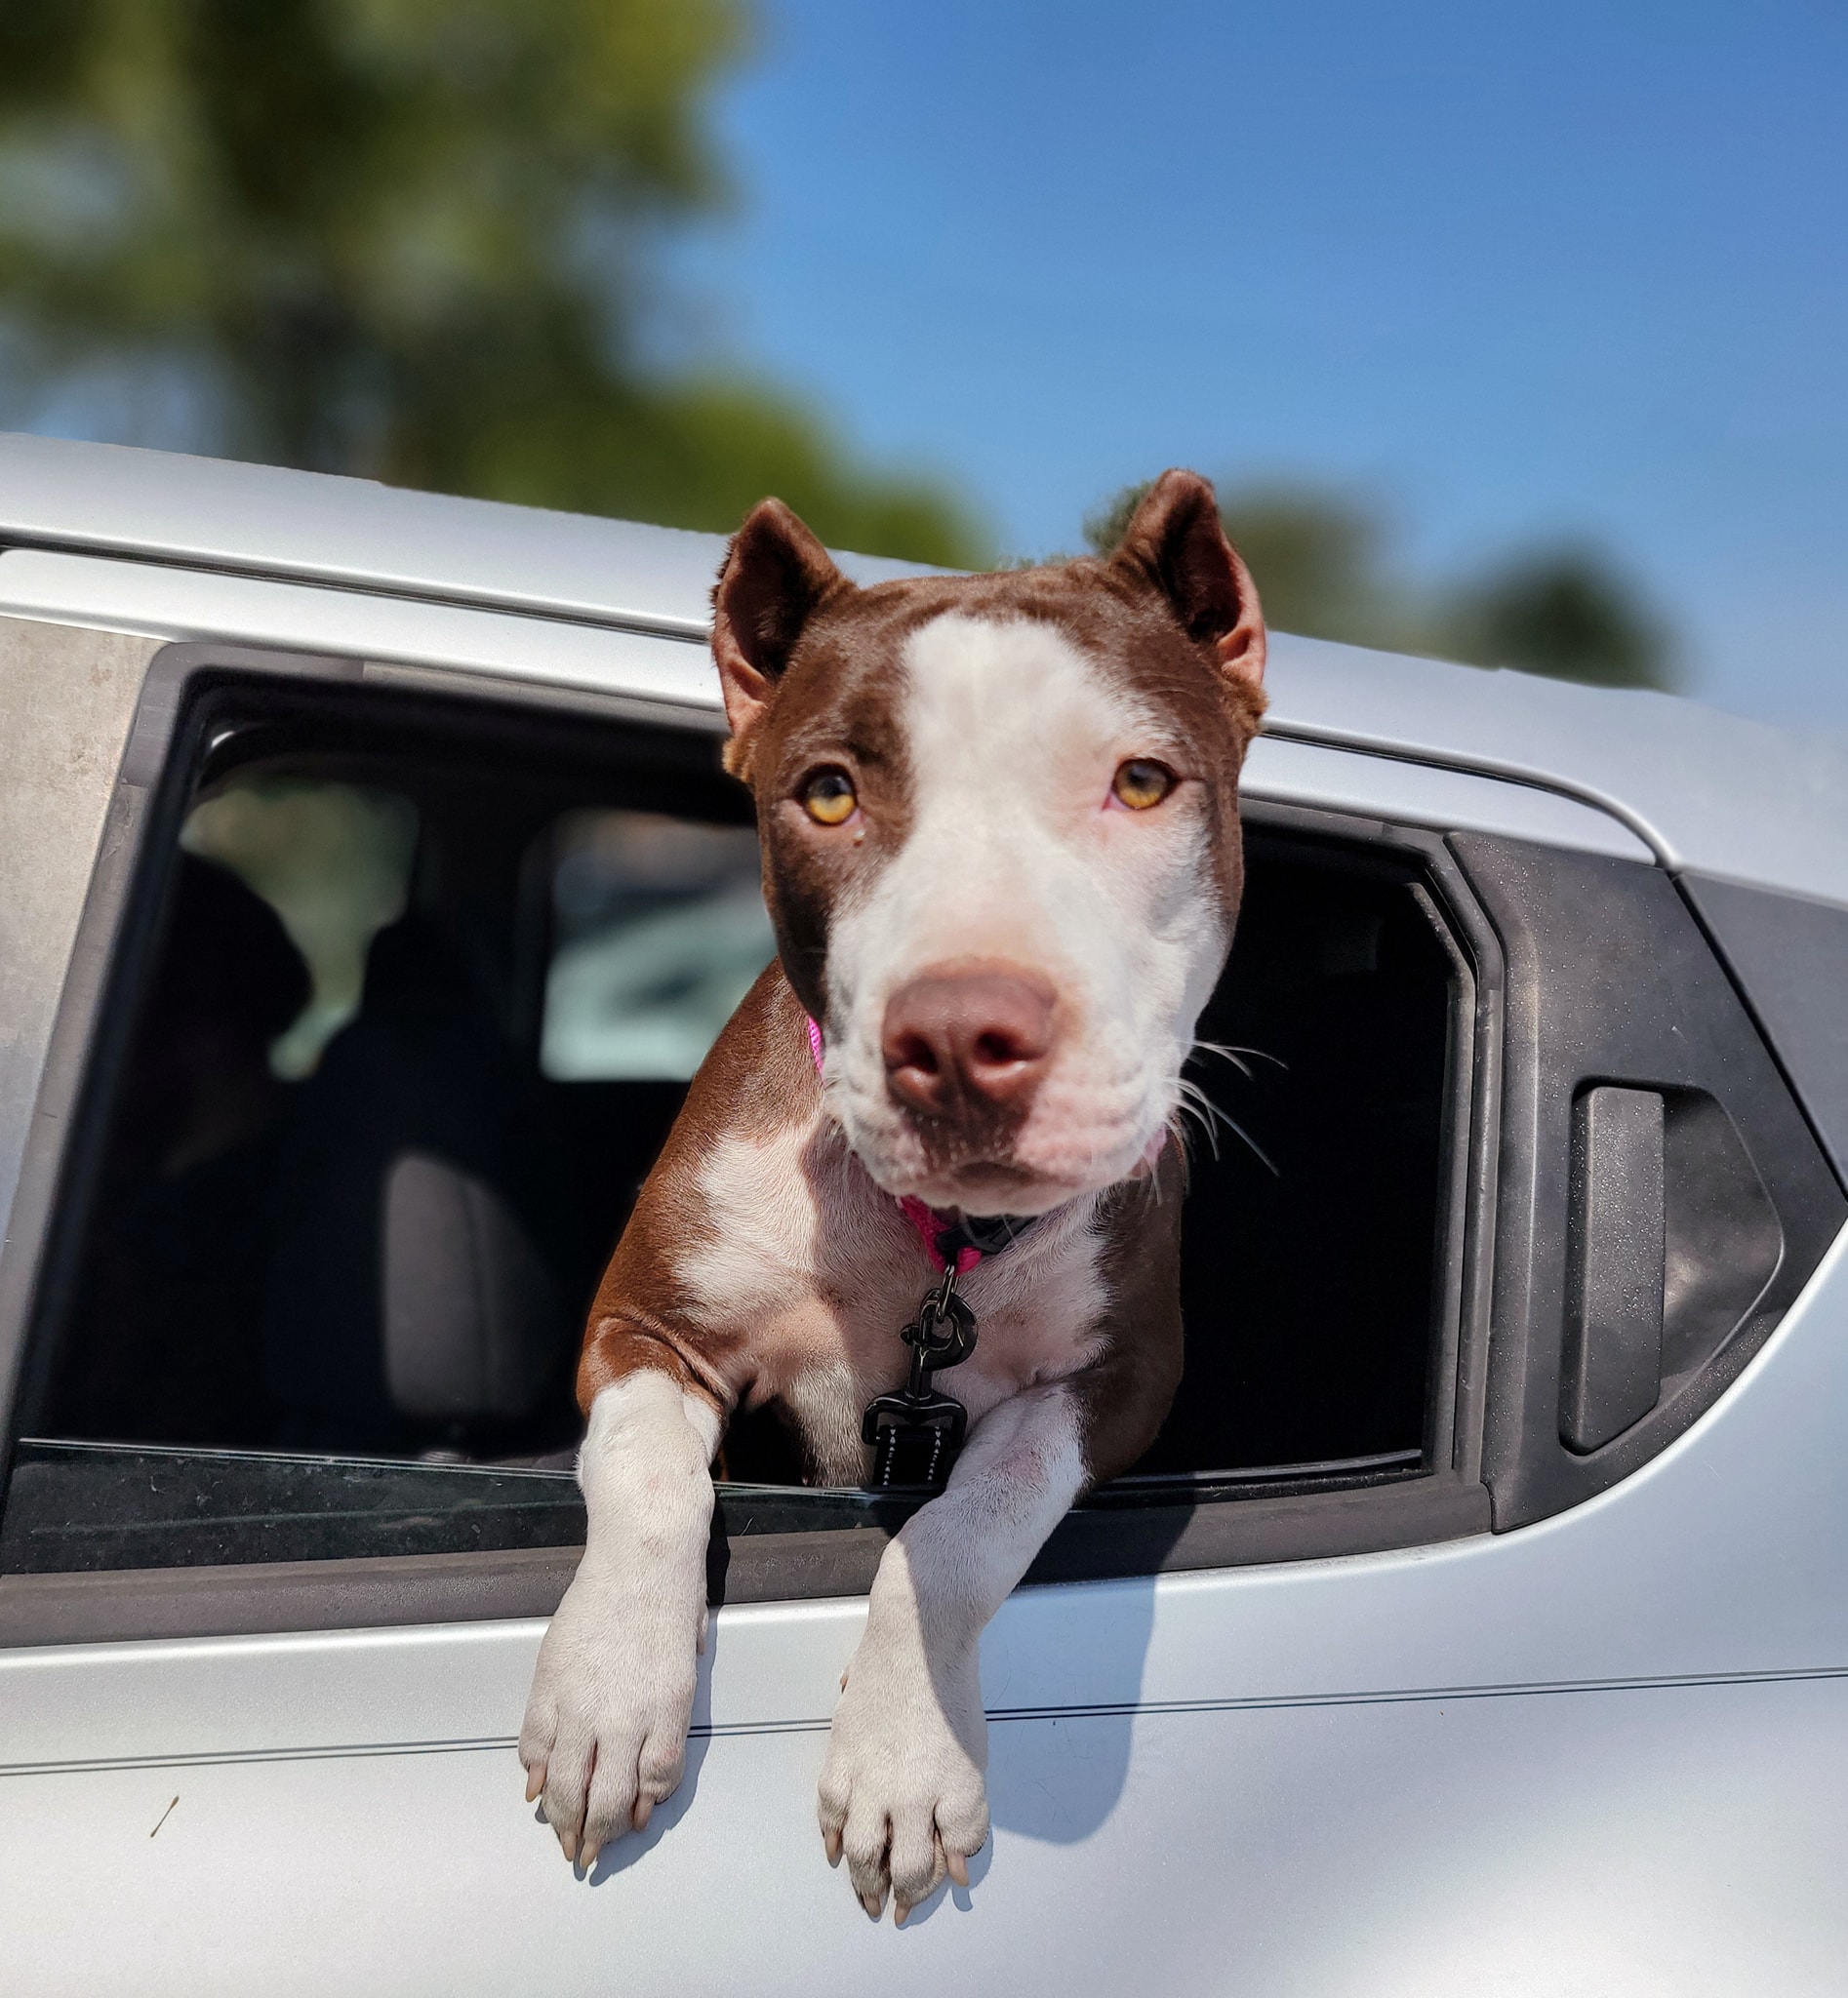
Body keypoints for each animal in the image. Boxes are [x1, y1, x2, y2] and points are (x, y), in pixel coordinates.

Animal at [519, 463, 1270, 1918]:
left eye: (1142, 779)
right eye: (825, 795)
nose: (962, 1034)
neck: (937, 1238)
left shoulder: (1120, 1380)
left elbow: (969, 1514)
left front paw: (904, 1762)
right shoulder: (642, 1322)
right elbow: (643, 1468)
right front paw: (604, 1696)